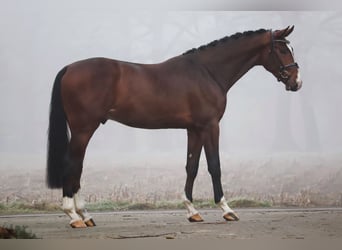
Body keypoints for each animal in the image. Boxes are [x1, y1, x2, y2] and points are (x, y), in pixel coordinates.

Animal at [46, 25, 302, 229]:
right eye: (282, 50)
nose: (296, 82)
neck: (207, 71)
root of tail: (69, 68)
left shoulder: (194, 129)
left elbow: (192, 166)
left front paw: (192, 211)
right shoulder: (210, 126)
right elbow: (214, 166)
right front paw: (226, 209)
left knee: (77, 167)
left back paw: (85, 215)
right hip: (83, 129)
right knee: (72, 165)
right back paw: (73, 216)